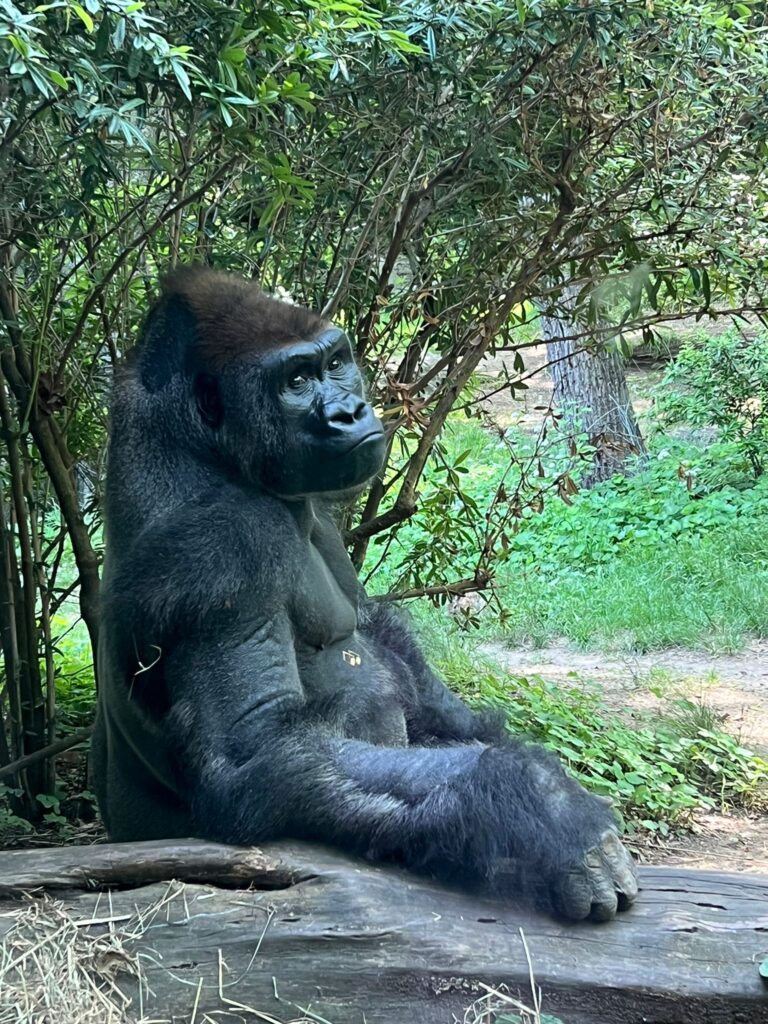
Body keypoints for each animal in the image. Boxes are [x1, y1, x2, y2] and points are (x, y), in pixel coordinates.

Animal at [93, 264, 638, 921]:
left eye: (334, 363)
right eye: (295, 380)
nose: (351, 412)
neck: (193, 442)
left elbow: (379, 631)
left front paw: (488, 739)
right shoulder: (225, 540)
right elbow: (260, 744)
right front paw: (542, 806)